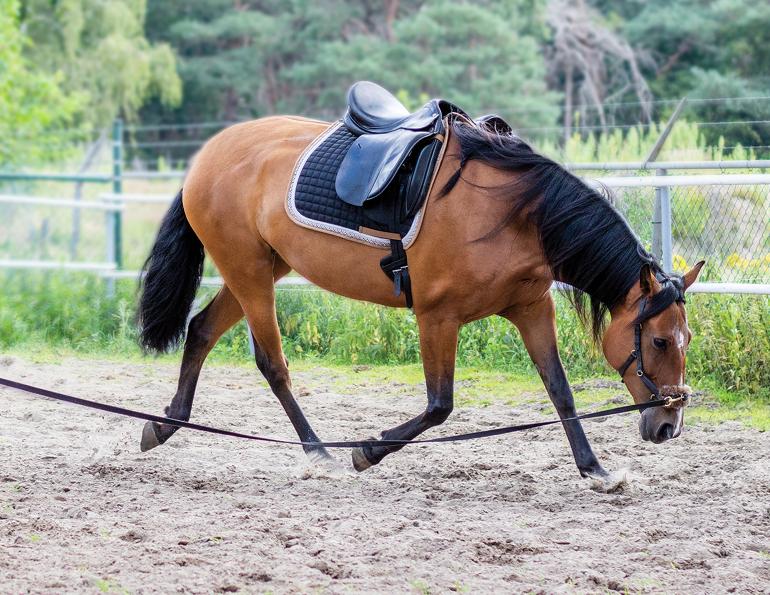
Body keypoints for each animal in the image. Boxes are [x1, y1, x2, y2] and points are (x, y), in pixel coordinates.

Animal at [136, 95, 704, 483]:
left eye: (686, 340)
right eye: (658, 341)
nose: (669, 426)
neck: (515, 215)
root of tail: (209, 154)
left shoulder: (530, 307)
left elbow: (559, 390)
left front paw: (595, 470)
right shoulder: (437, 317)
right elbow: (439, 405)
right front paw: (367, 450)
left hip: (257, 270)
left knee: (200, 330)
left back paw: (164, 425)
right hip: (250, 273)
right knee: (272, 364)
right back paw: (318, 449)